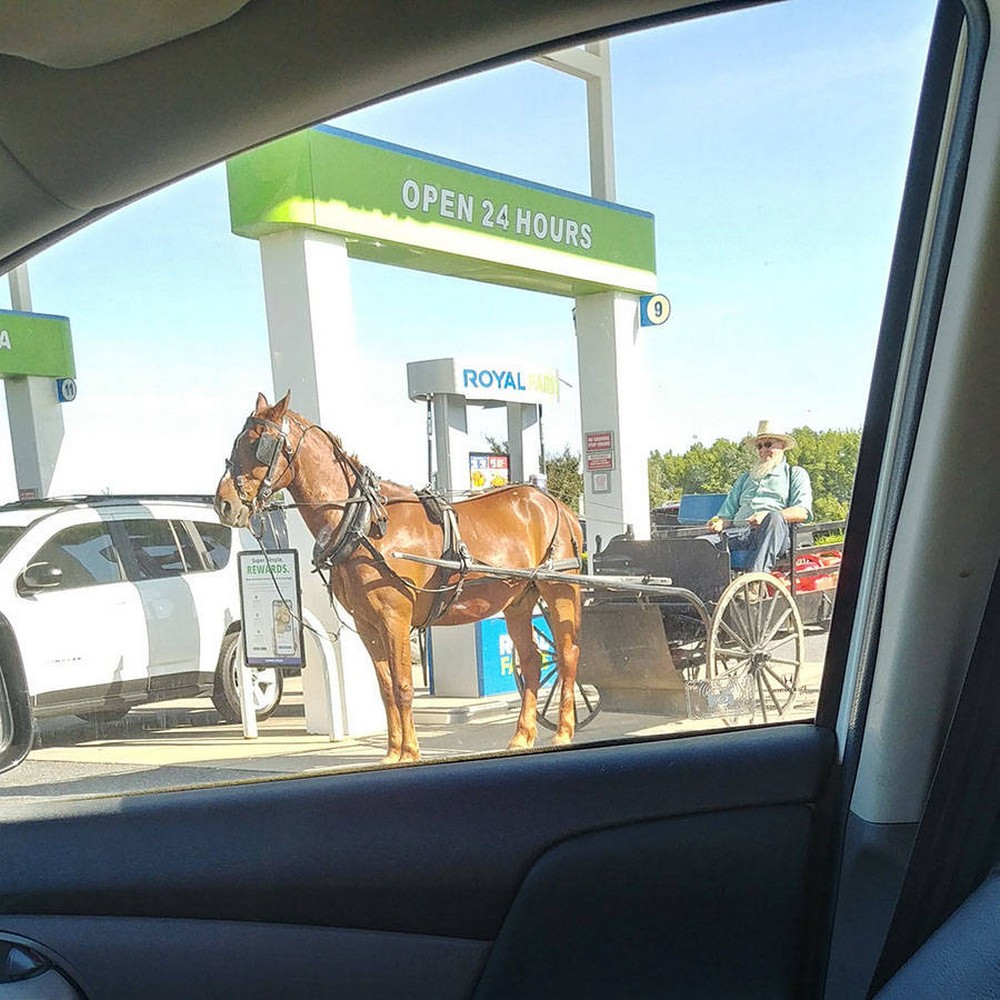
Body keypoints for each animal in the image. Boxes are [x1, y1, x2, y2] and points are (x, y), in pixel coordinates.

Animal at [215, 388, 584, 756]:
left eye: (258, 444)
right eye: (237, 441)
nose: (223, 503)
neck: (365, 521)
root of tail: (555, 505)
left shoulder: (395, 618)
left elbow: (404, 685)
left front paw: (410, 751)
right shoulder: (367, 624)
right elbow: (386, 688)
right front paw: (393, 752)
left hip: (559, 591)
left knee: (567, 655)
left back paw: (563, 731)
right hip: (519, 600)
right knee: (533, 661)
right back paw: (522, 736)